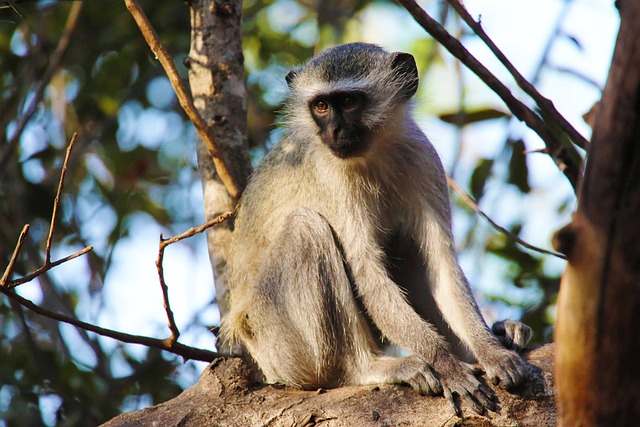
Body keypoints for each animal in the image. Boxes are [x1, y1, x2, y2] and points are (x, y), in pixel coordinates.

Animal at [222, 44, 532, 418]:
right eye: (321, 106)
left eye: (349, 101)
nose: (334, 132)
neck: (373, 155)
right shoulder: (332, 178)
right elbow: (365, 269)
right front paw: (447, 364)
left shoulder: (423, 157)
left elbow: (441, 263)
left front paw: (490, 351)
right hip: (277, 340)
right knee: (305, 228)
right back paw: (366, 368)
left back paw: (505, 334)